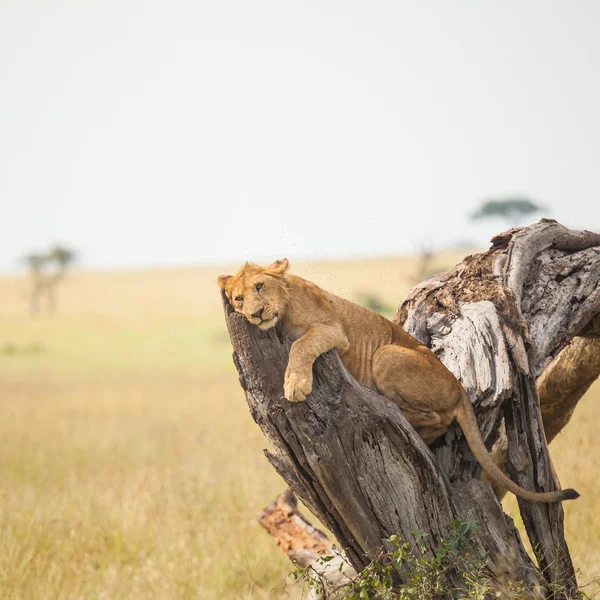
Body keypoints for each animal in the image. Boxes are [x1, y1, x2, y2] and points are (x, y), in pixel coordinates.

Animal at [218, 260, 580, 504]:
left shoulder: (334, 332)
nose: (255, 314)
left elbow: (300, 345)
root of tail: (459, 387)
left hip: (387, 355)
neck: (282, 314)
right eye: (238, 300)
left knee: (436, 417)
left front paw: (295, 386)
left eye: (260, 287)